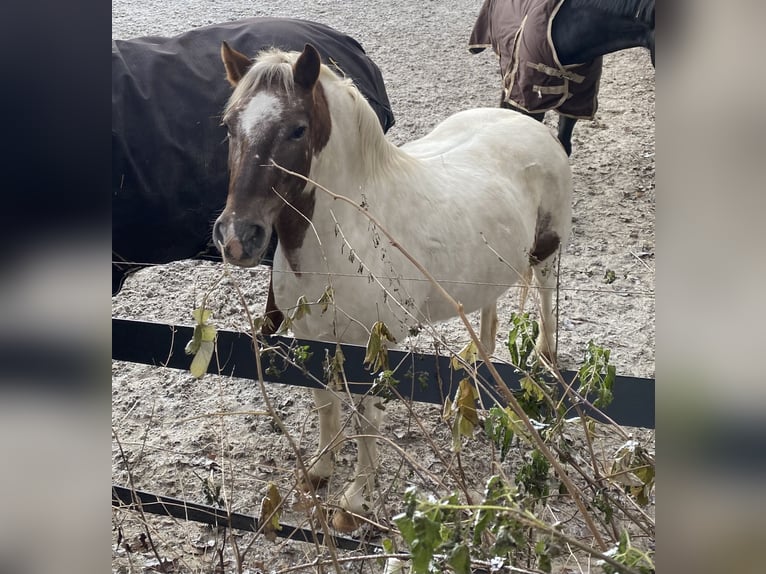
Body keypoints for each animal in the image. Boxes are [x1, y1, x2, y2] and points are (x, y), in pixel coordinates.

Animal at [213, 42, 572, 532]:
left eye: (297, 129)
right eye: (230, 126)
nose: (237, 237)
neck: (348, 233)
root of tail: (531, 125)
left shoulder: (374, 349)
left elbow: (366, 422)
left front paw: (354, 502)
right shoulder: (311, 338)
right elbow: (326, 406)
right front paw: (320, 471)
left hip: (547, 255)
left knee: (548, 305)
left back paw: (546, 367)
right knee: (489, 314)